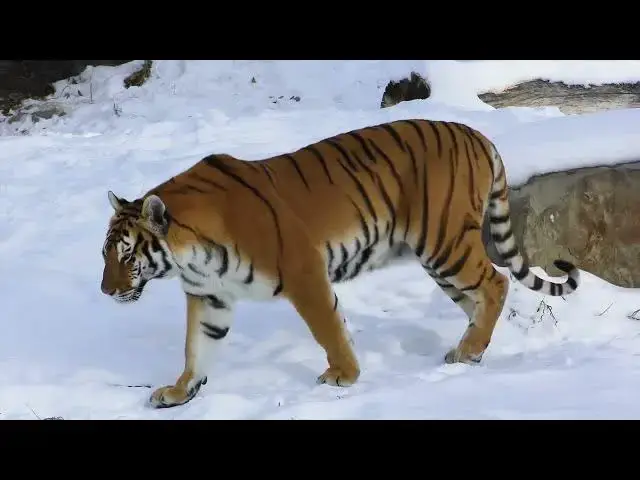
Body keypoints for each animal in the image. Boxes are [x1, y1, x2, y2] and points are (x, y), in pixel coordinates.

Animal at [100, 118, 580, 409]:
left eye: (126, 253)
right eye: (105, 253)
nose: (106, 291)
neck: (190, 255)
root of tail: (477, 134)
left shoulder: (303, 271)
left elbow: (327, 328)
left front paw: (343, 376)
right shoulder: (209, 296)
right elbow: (196, 347)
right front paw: (179, 391)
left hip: (445, 244)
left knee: (496, 283)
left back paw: (469, 350)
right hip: (442, 259)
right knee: (479, 298)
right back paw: (467, 351)